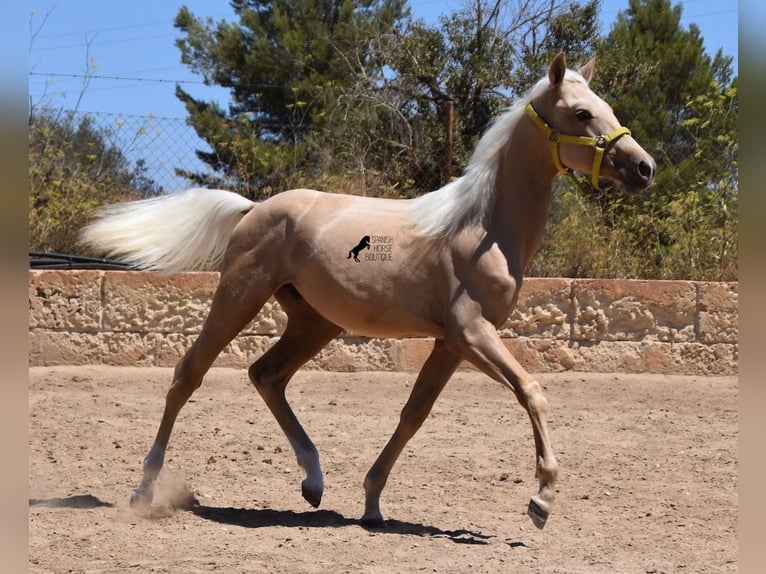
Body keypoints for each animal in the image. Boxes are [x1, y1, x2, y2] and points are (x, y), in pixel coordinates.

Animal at [82, 54, 656, 532]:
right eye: (582, 113)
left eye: (608, 109)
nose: (644, 167)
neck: (481, 227)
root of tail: (253, 207)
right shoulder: (472, 332)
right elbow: (531, 392)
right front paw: (541, 500)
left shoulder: (451, 343)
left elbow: (413, 416)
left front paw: (373, 503)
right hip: (239, 296)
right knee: (188, 375)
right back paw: (144, 490)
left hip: (315, 322)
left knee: (267, 375)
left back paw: (314, 483)